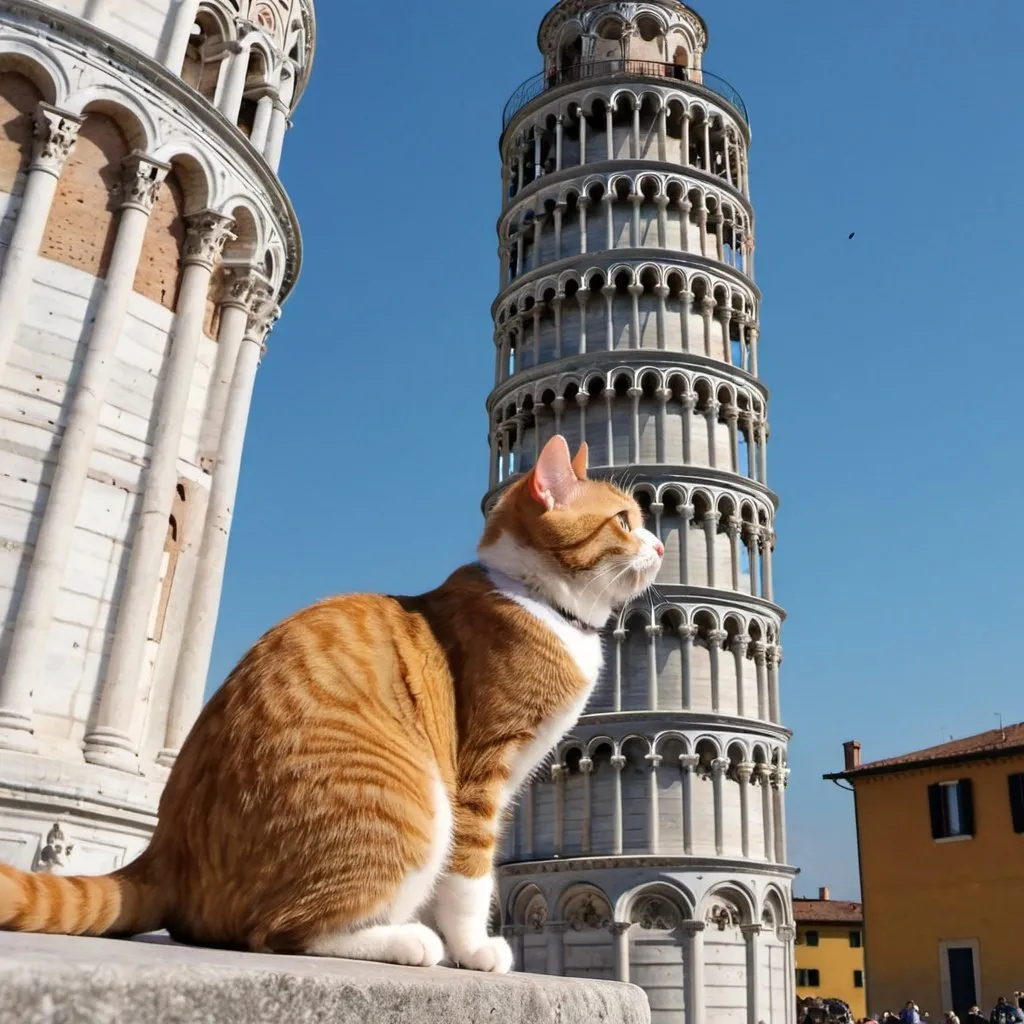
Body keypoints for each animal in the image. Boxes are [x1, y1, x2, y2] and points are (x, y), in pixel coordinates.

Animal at [0, 434, 663, 974]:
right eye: (624, 521)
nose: (659, 546)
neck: (538, 599)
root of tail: (166, 849)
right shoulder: (481, 774)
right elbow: (471, 875)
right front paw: (474, 950)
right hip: (414, 801)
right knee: (278, 932)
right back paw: (405, 941)